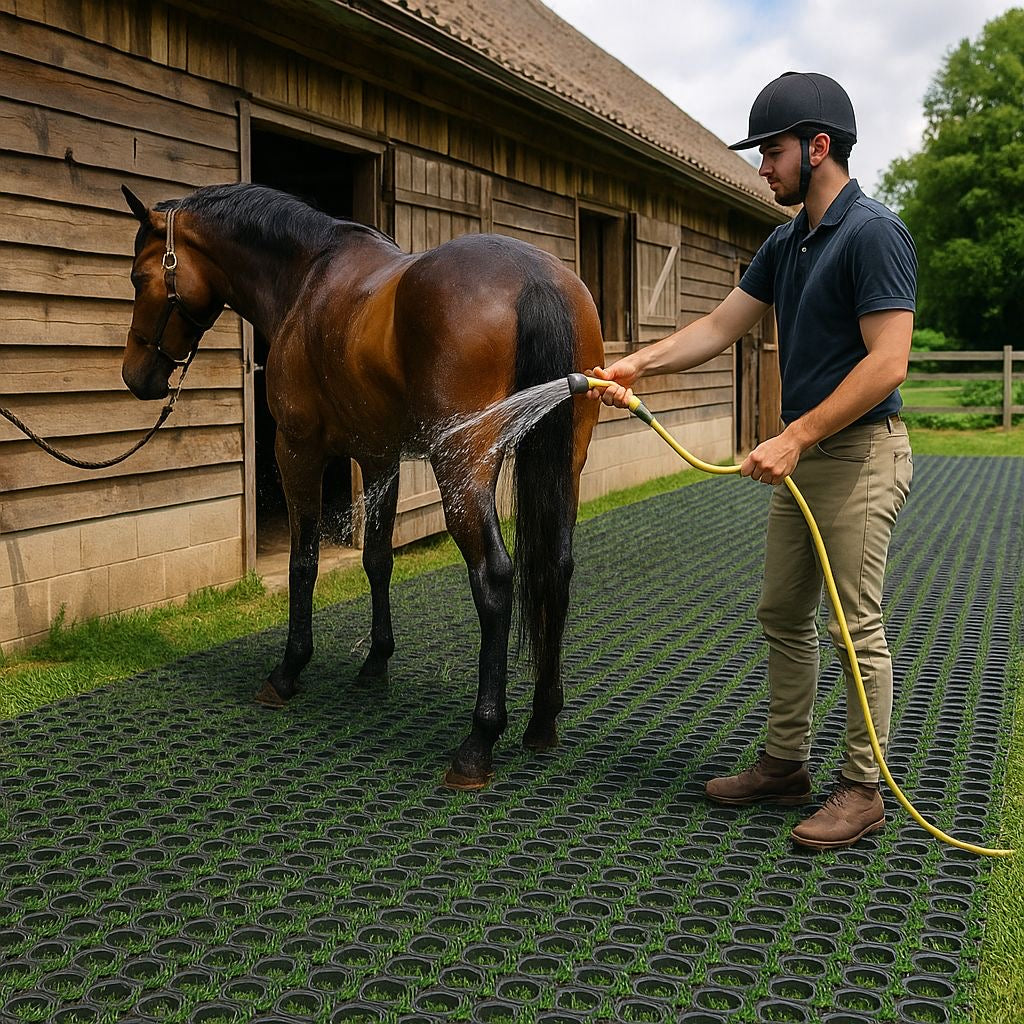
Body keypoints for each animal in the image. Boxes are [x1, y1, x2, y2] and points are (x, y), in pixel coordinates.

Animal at [119, 182, 603, 788]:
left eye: (139, 278)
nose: (135, 377)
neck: (307, 276)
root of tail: (535, 277)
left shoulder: (296, 450)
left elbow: (303, 562)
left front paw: (288, 669)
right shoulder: (377, 456)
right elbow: (377, 558)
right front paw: (376, 664)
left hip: (463, 466)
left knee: (494, 575)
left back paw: (478, 741)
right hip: (565, 465)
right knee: (555, 567)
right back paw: (542, 720)